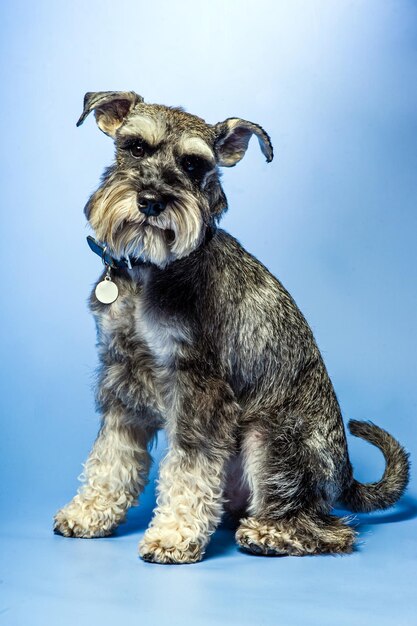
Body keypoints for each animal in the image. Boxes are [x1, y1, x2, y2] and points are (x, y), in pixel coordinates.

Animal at [53, 91, 408, 560]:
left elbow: (189, 464)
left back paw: (268, 534)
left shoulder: (200, 388)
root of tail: (346, 473)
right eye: (135, 148)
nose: (151, 200)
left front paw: (173, 534)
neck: (151, 272)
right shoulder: (122, 377)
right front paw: (90, 512)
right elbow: (112, 455)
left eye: (192, 165)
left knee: (326, 527)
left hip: (270, 440)